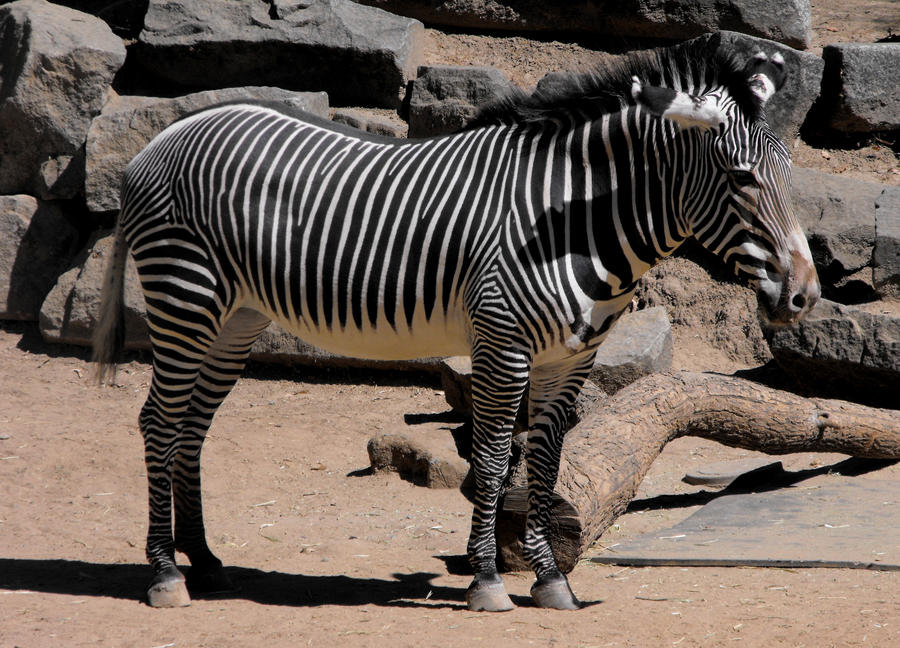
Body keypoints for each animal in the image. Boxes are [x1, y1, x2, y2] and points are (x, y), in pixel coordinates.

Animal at [95, 41, 820, 612]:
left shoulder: (570, 357)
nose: (806, 296)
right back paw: (165, 574)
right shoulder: (503, 343)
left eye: (788, 176)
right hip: (185, 298)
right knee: (159, 422)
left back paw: (205, 562)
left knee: (191, 426)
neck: (570, 223)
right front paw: (489, 580)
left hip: (234, 319)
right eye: (741, 178)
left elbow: (547, 462)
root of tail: (163, 137)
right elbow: (496, 459)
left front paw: (549, 580)